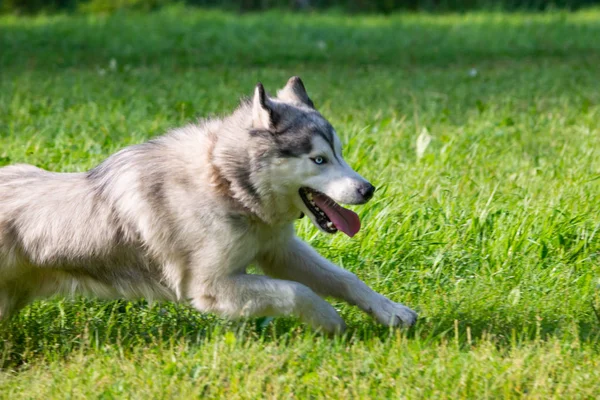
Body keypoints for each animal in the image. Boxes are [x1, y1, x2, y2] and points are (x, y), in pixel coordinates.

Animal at [1, 76, 418, 332]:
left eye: (340, 154)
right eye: (319, 160)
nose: (368, 190)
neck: (226, 186)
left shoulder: (280, 251)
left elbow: (345, 279)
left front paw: (389, 311)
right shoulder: (210, 286)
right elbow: (294, 291)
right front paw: (328, 319)